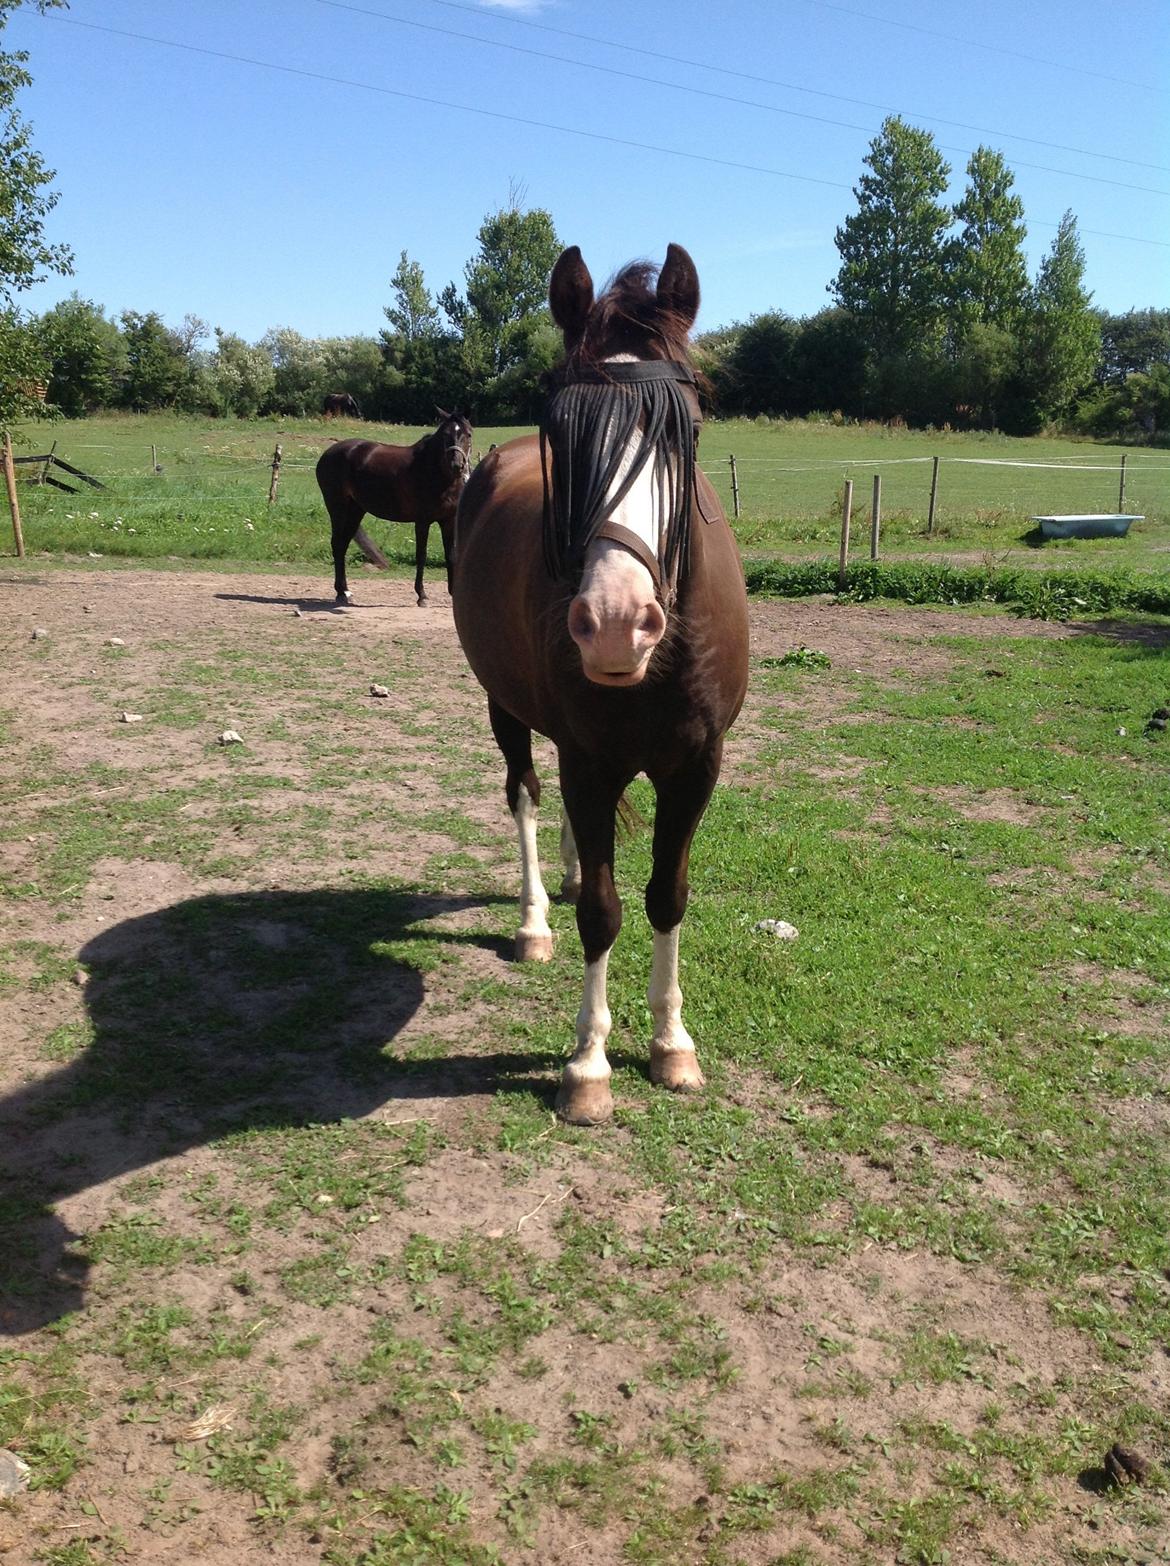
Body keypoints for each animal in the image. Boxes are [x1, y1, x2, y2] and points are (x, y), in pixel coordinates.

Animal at [317, 410, 473, 604]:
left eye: (468, 434)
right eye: (445, 434)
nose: (457, 465)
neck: (433, 472)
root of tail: (327, 454)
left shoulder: (448, 521)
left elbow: (451, 556)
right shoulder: (422, 522)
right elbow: (421, 556)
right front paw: (421, 595)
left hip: (355, 511)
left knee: (343, 545)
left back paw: (345, 591)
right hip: (338, 508)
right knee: (338, 544)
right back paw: (340, 592)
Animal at [454, 244, 751, 1121]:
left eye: (689, 431)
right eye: (563, 429)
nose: (618, 621)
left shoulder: (696, 767)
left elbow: (665, 895)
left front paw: (671, 1043)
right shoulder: (589, 762)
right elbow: (603, 913)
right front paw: (588, 1063)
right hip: (505, 708)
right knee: (524, 793)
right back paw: (533, 920)